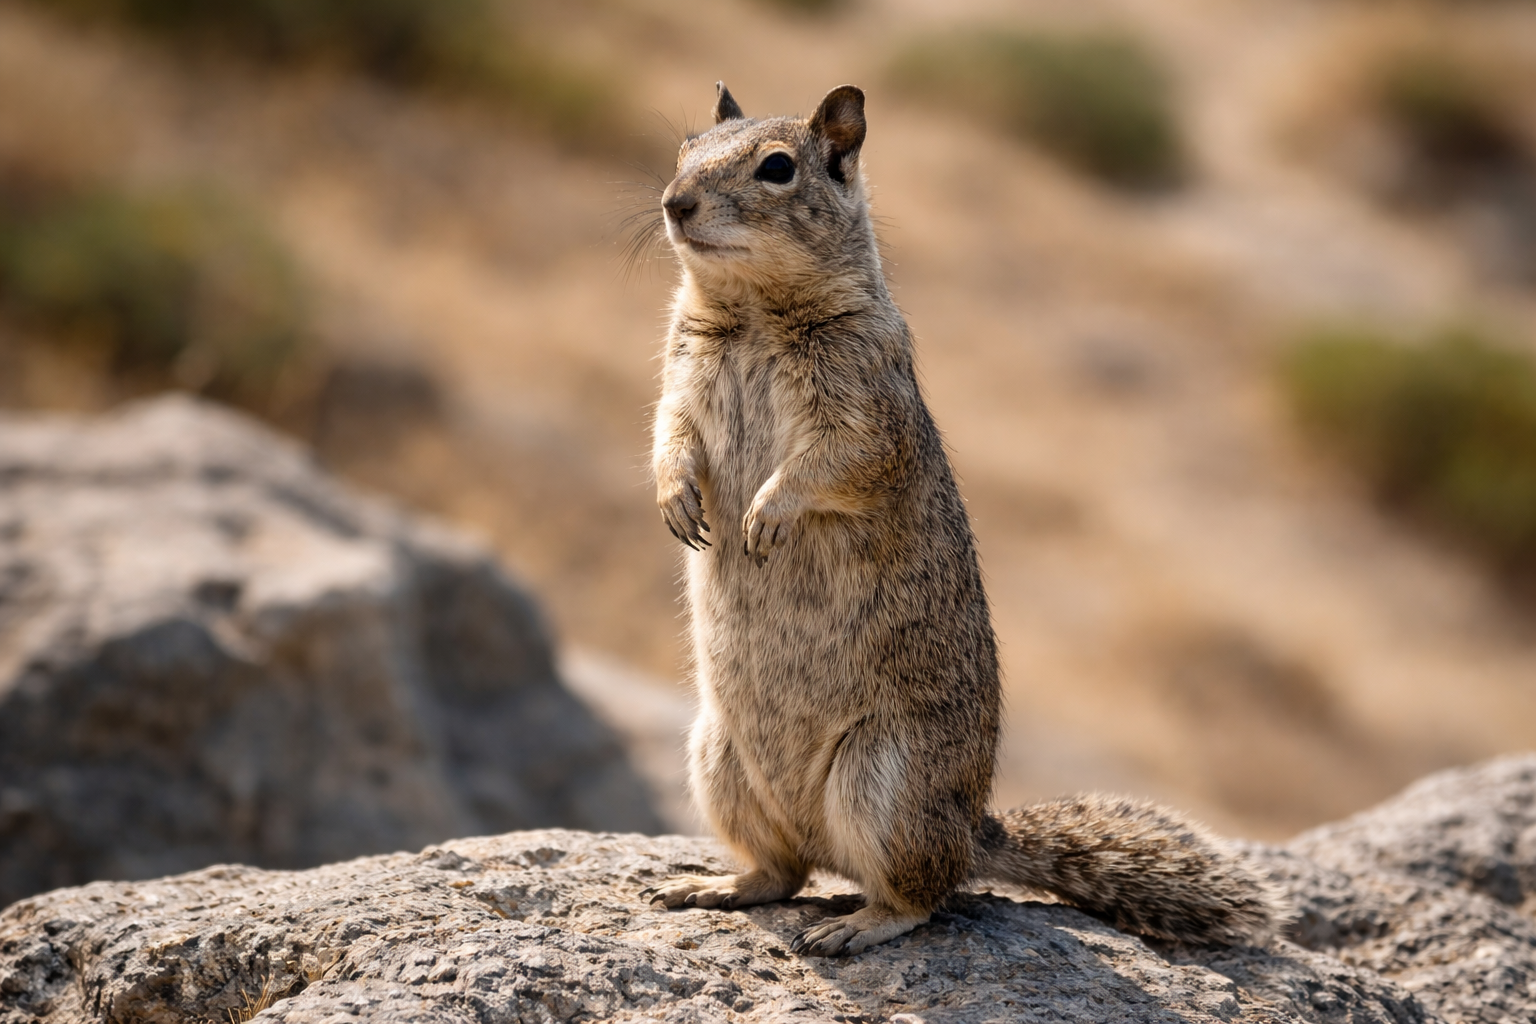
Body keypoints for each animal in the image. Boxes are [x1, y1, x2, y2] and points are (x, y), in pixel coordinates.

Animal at [640, 82, 1289, 956]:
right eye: (684, 149)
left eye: (776, 167)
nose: (675, 203)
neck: (751, 314)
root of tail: (974, 830)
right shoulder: (681, 381)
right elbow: (669, 439)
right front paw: (676, 502)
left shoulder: (867, 416)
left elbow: (830, 466)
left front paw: (766, 515)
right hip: (718, 760)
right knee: (783, 874)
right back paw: (716, 886)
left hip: (884, 781)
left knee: (921, 895)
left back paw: (857, 926)